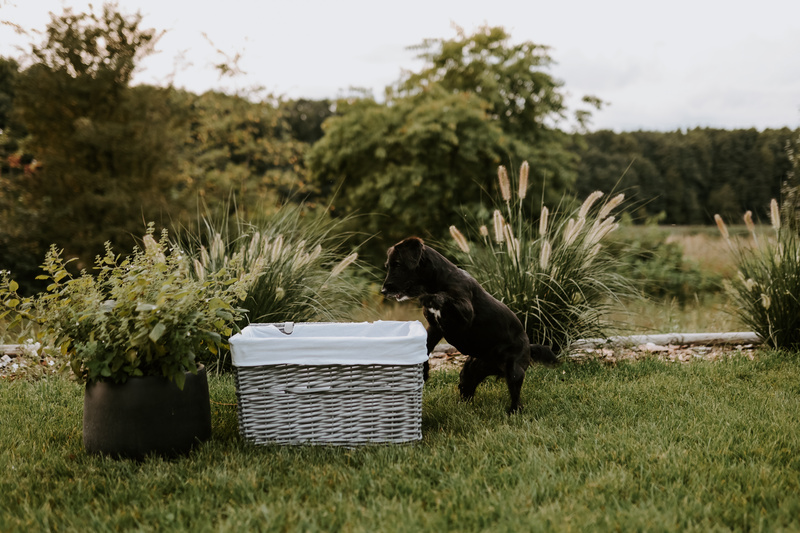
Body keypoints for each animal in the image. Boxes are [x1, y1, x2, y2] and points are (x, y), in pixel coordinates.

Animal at [382, 236, 556, 412]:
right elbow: (426, 346)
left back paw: (512, 412)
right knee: (467, 390)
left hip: (514, 371)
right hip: (471, 370)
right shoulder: (435, 327)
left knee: (516, 398)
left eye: (397, 264)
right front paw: (424, 372)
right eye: (388, 265)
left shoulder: (465, 315)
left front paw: (430, 297)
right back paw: (462, 408)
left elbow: (444, 297)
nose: (383, 291)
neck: (437, 281)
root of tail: (529, 346)